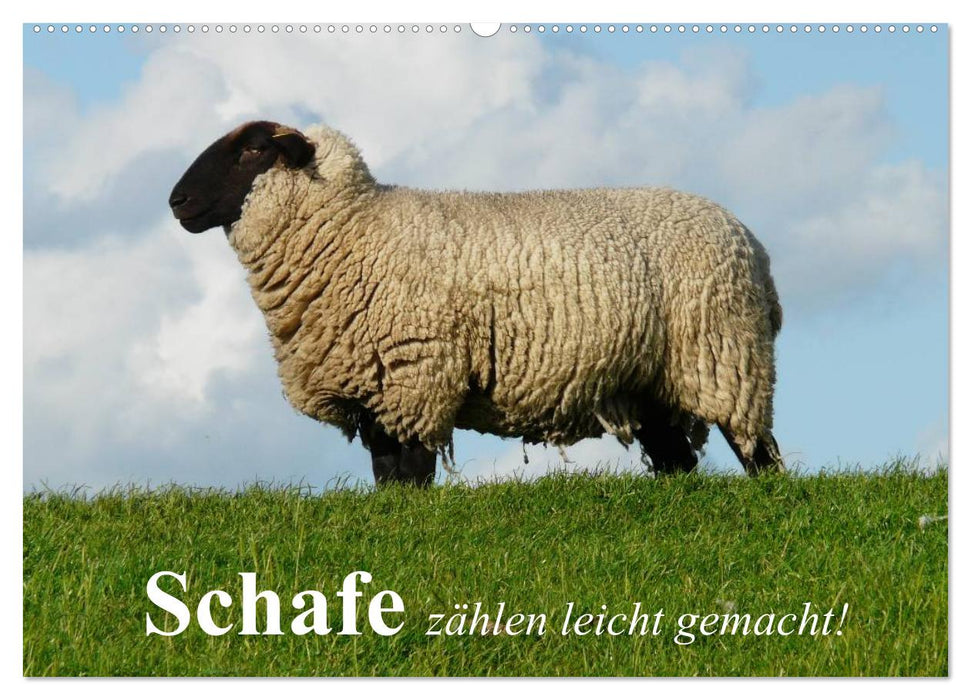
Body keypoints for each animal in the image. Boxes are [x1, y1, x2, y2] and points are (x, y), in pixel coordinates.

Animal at [168, 120, 784, 486]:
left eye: (253, 149)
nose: (177, 201)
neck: (353, 230)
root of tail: (753, 244)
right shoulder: (376, 390)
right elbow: (387, 475)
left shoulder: (415, 376)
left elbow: (411, 473)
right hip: (652, 378)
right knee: (677, 460)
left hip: (726, 355)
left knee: (757, 447)